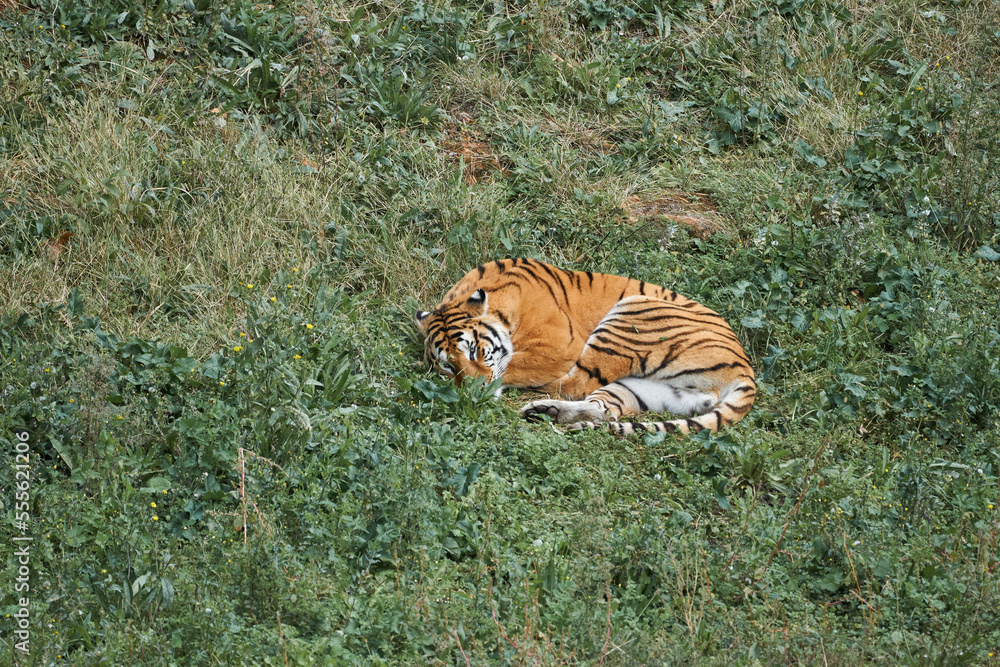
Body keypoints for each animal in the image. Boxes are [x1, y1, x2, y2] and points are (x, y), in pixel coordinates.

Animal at [415, 258, 755, 435]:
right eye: (447, 365)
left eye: (473, 350)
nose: (471, 394)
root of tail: (746, 369)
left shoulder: (559, 347)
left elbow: (509, 367)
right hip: (651, 389)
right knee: (605, 409)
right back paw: (549, 412)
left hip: (634, 311)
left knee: (576, 384)